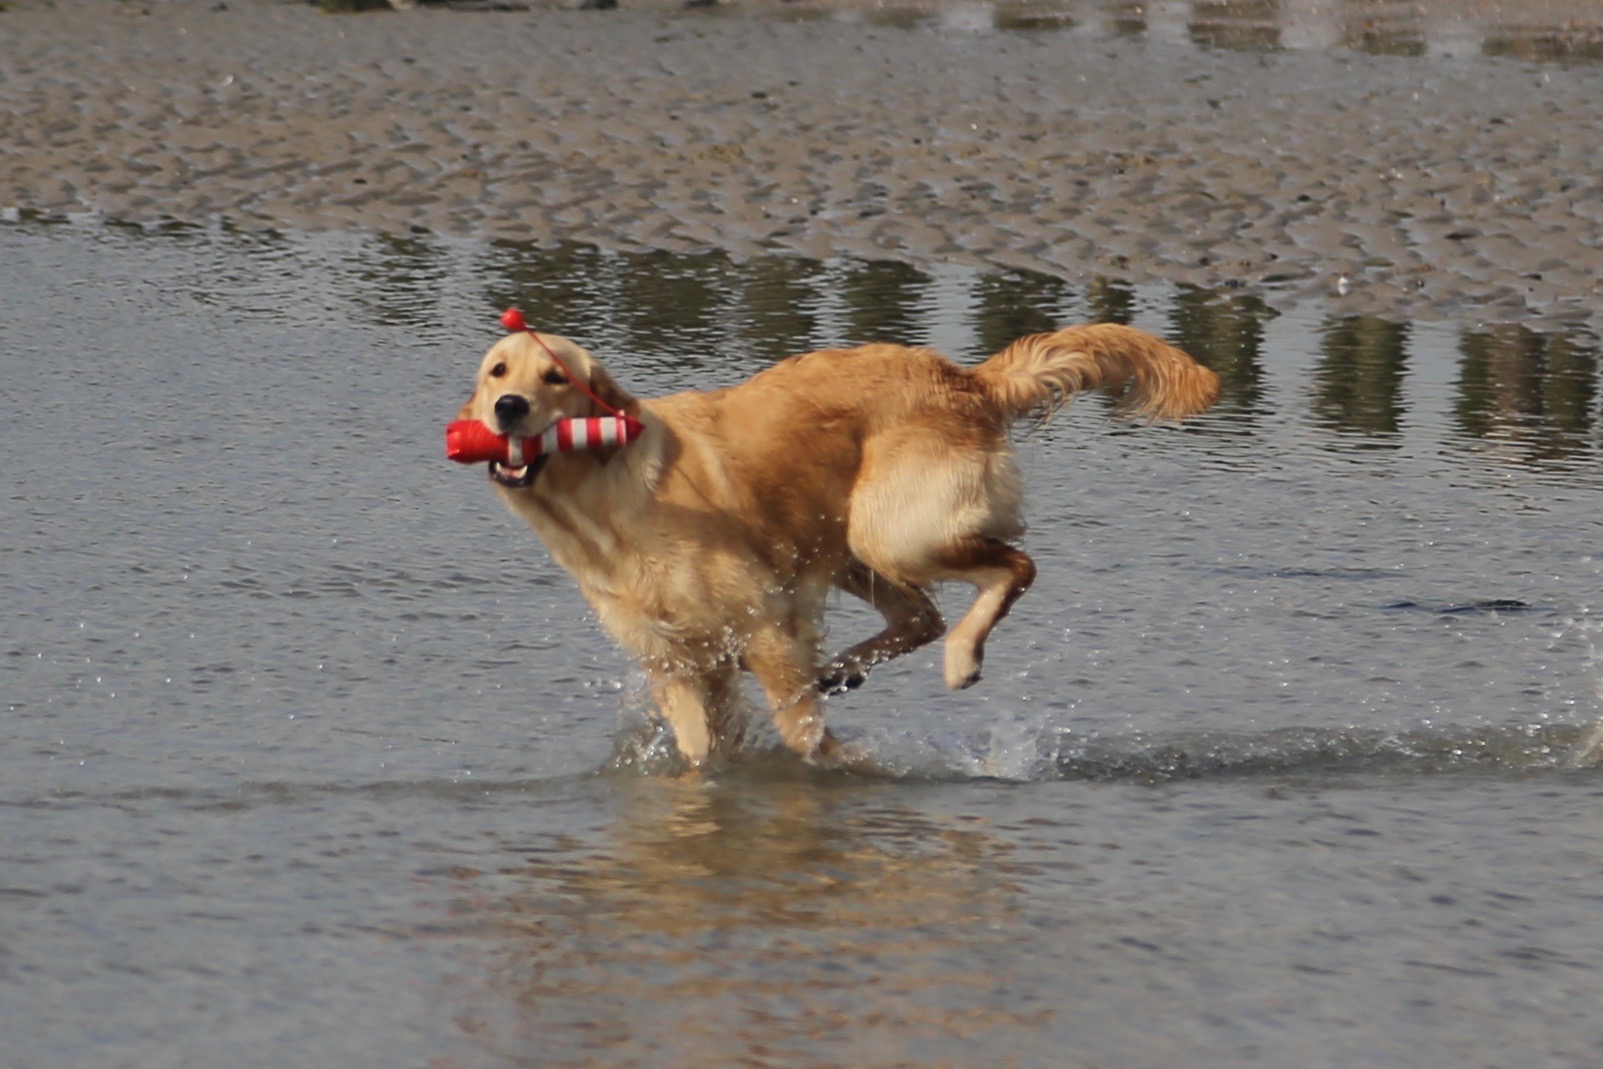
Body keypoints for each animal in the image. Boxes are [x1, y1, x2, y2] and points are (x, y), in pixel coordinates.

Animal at [457, 321, 1220, 768]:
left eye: (555, 377)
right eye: (497, 371)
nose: (507, 408)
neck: (604, 493)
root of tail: (964, 378)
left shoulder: (762, 621)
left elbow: (800, 733)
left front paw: (842, 766)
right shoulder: (673, 656)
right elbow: (701, 753)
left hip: (890, 530)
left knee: (1014, 567)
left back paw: (961, 660)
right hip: (843, 540)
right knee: (922, 613)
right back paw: (845, 668)